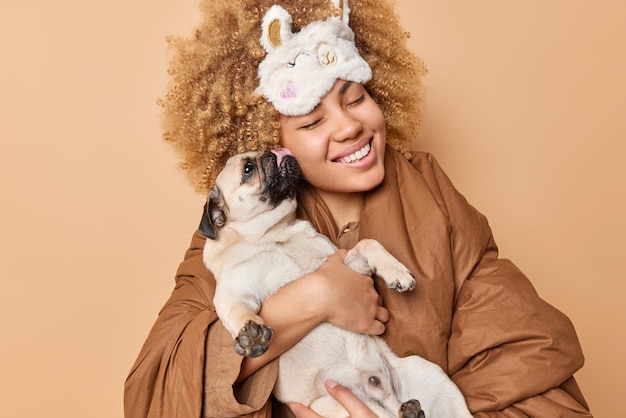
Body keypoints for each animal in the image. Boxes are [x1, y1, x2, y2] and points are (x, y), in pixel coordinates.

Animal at [199, 149, 468, 416]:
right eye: (248, 170)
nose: (272, 151)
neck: (276, 233)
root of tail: (386, 398)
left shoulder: (348, 267)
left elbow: (368, 243)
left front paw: (396, 272)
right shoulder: (235, 293)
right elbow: (238, 311)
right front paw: (251, 333)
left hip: (432, 376)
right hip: (334, 404)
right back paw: (408, 411)